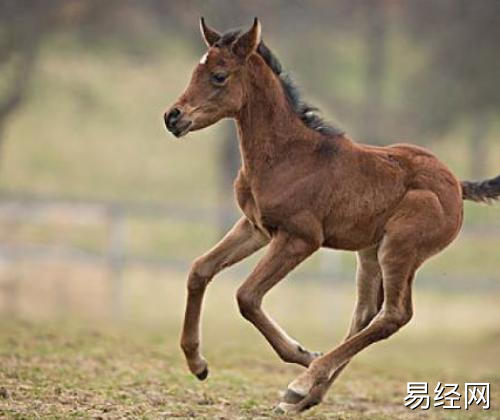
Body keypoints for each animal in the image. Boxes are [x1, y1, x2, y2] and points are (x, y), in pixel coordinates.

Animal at [164, 18, 500, 414]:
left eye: (219, 75)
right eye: (195, 71)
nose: (173, 117)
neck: (288, 155)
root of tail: (456, 185)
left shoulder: (300, 238)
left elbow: (246, 296)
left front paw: (302, 354)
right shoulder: (255, 227)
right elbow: (200, 270)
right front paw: (197, 364)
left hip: (400, 249)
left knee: (394, 315)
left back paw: (302, 384)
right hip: (370, 251)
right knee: (366, 313)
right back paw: (309, 394)